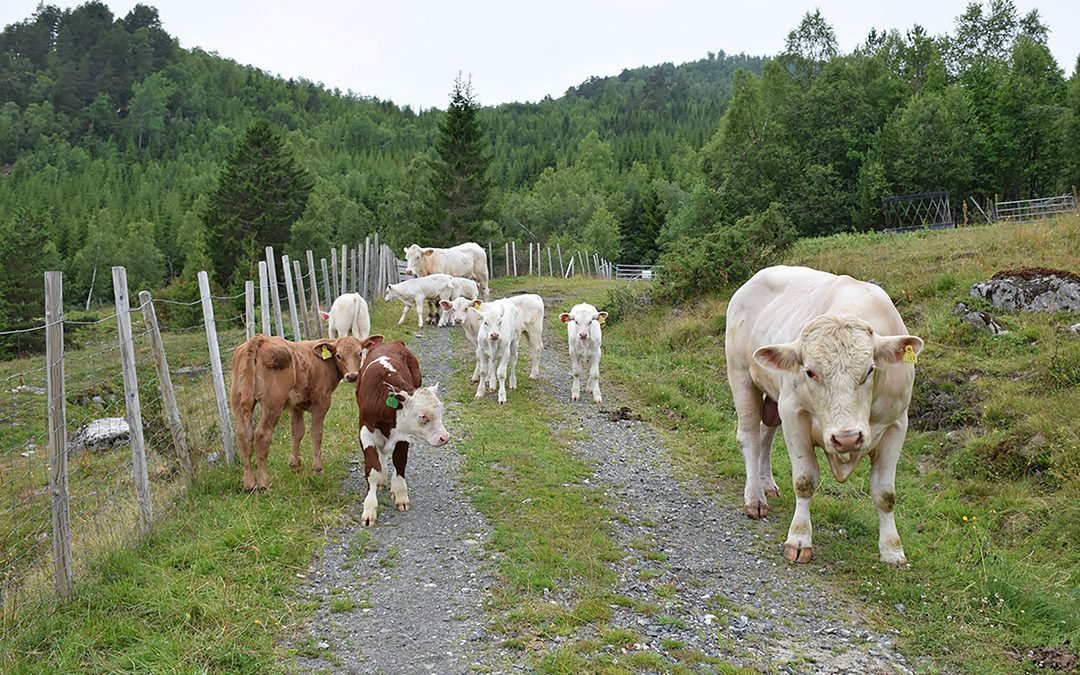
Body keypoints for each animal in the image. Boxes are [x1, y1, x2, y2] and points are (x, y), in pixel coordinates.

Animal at [230, 332, 382, 486]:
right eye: (338, 355)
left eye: (360, 353)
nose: (352, 376)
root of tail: (259, 339)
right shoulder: (322, 402)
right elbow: (316, 433)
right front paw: (318, 468)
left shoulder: (296, 405)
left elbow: (297, 432)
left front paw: (294, 465)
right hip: (273, 404)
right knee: (261, 434)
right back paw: (263, 482)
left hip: (238, 400)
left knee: (243, 434)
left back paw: (249, 483)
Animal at [358, 339, 451, 524]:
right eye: (423, 416)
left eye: (441, 411)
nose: (445, 437)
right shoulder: (364, 432)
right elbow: (373, 470)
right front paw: (369, 508)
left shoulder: (403, 436)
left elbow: (399, 461)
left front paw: (400, 495)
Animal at [721, 263, 924, 561]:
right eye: (809, 371)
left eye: (870, 370)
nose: (847, 438)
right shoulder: (793, 412)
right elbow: (805, 480)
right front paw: (799, 539)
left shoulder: (897, 423)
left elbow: (885, 494)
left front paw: (892, 550)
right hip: (741, 376)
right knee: (750, 437)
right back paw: (755, 497)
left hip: (773, 396)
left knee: (765, 436)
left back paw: (767, 484)